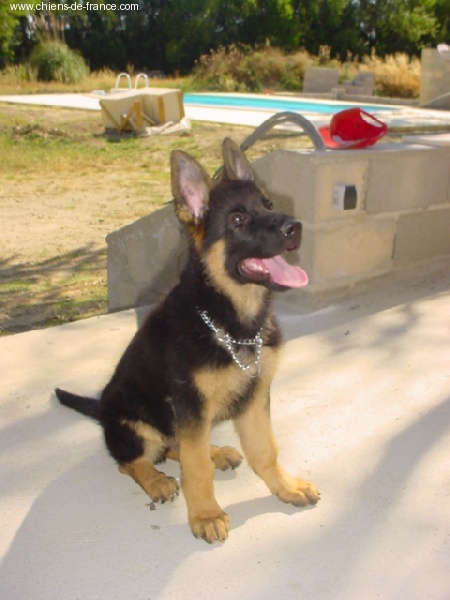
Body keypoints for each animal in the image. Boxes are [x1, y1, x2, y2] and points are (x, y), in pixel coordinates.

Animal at [55, 138, 320, 543]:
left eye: (269, 205)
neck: (231, 319)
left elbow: (265, 451)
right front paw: (206, 514)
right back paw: (156, 480)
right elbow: (196, 469)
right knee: (133, 461)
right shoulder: (191, 405)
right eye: (237, 220)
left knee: (175, 448)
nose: (295, 228)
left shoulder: (256, 396)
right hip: (137, 423)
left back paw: (215, 452)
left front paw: (285, 487)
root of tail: (101, 409)